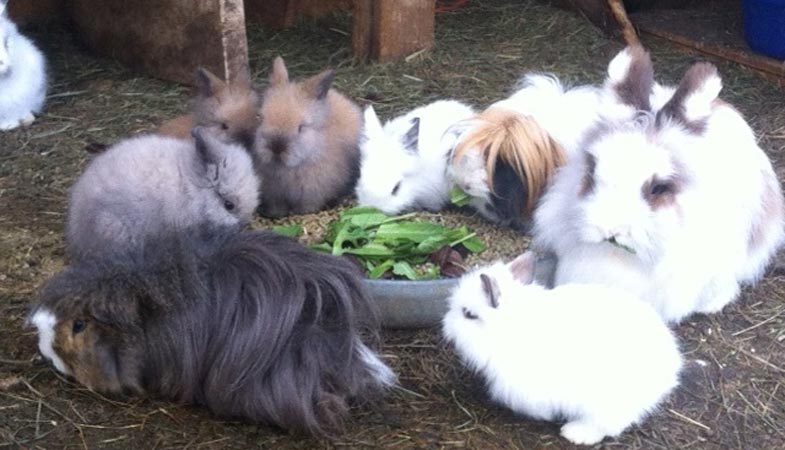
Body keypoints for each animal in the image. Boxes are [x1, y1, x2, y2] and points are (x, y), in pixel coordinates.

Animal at [253, 56, 362, 217]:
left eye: (301, 127)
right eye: (261, 118)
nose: (276, 147)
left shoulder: (313, 193)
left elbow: (307, 206)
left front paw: (303, 213)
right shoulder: (274, 195)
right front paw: (276, 214)